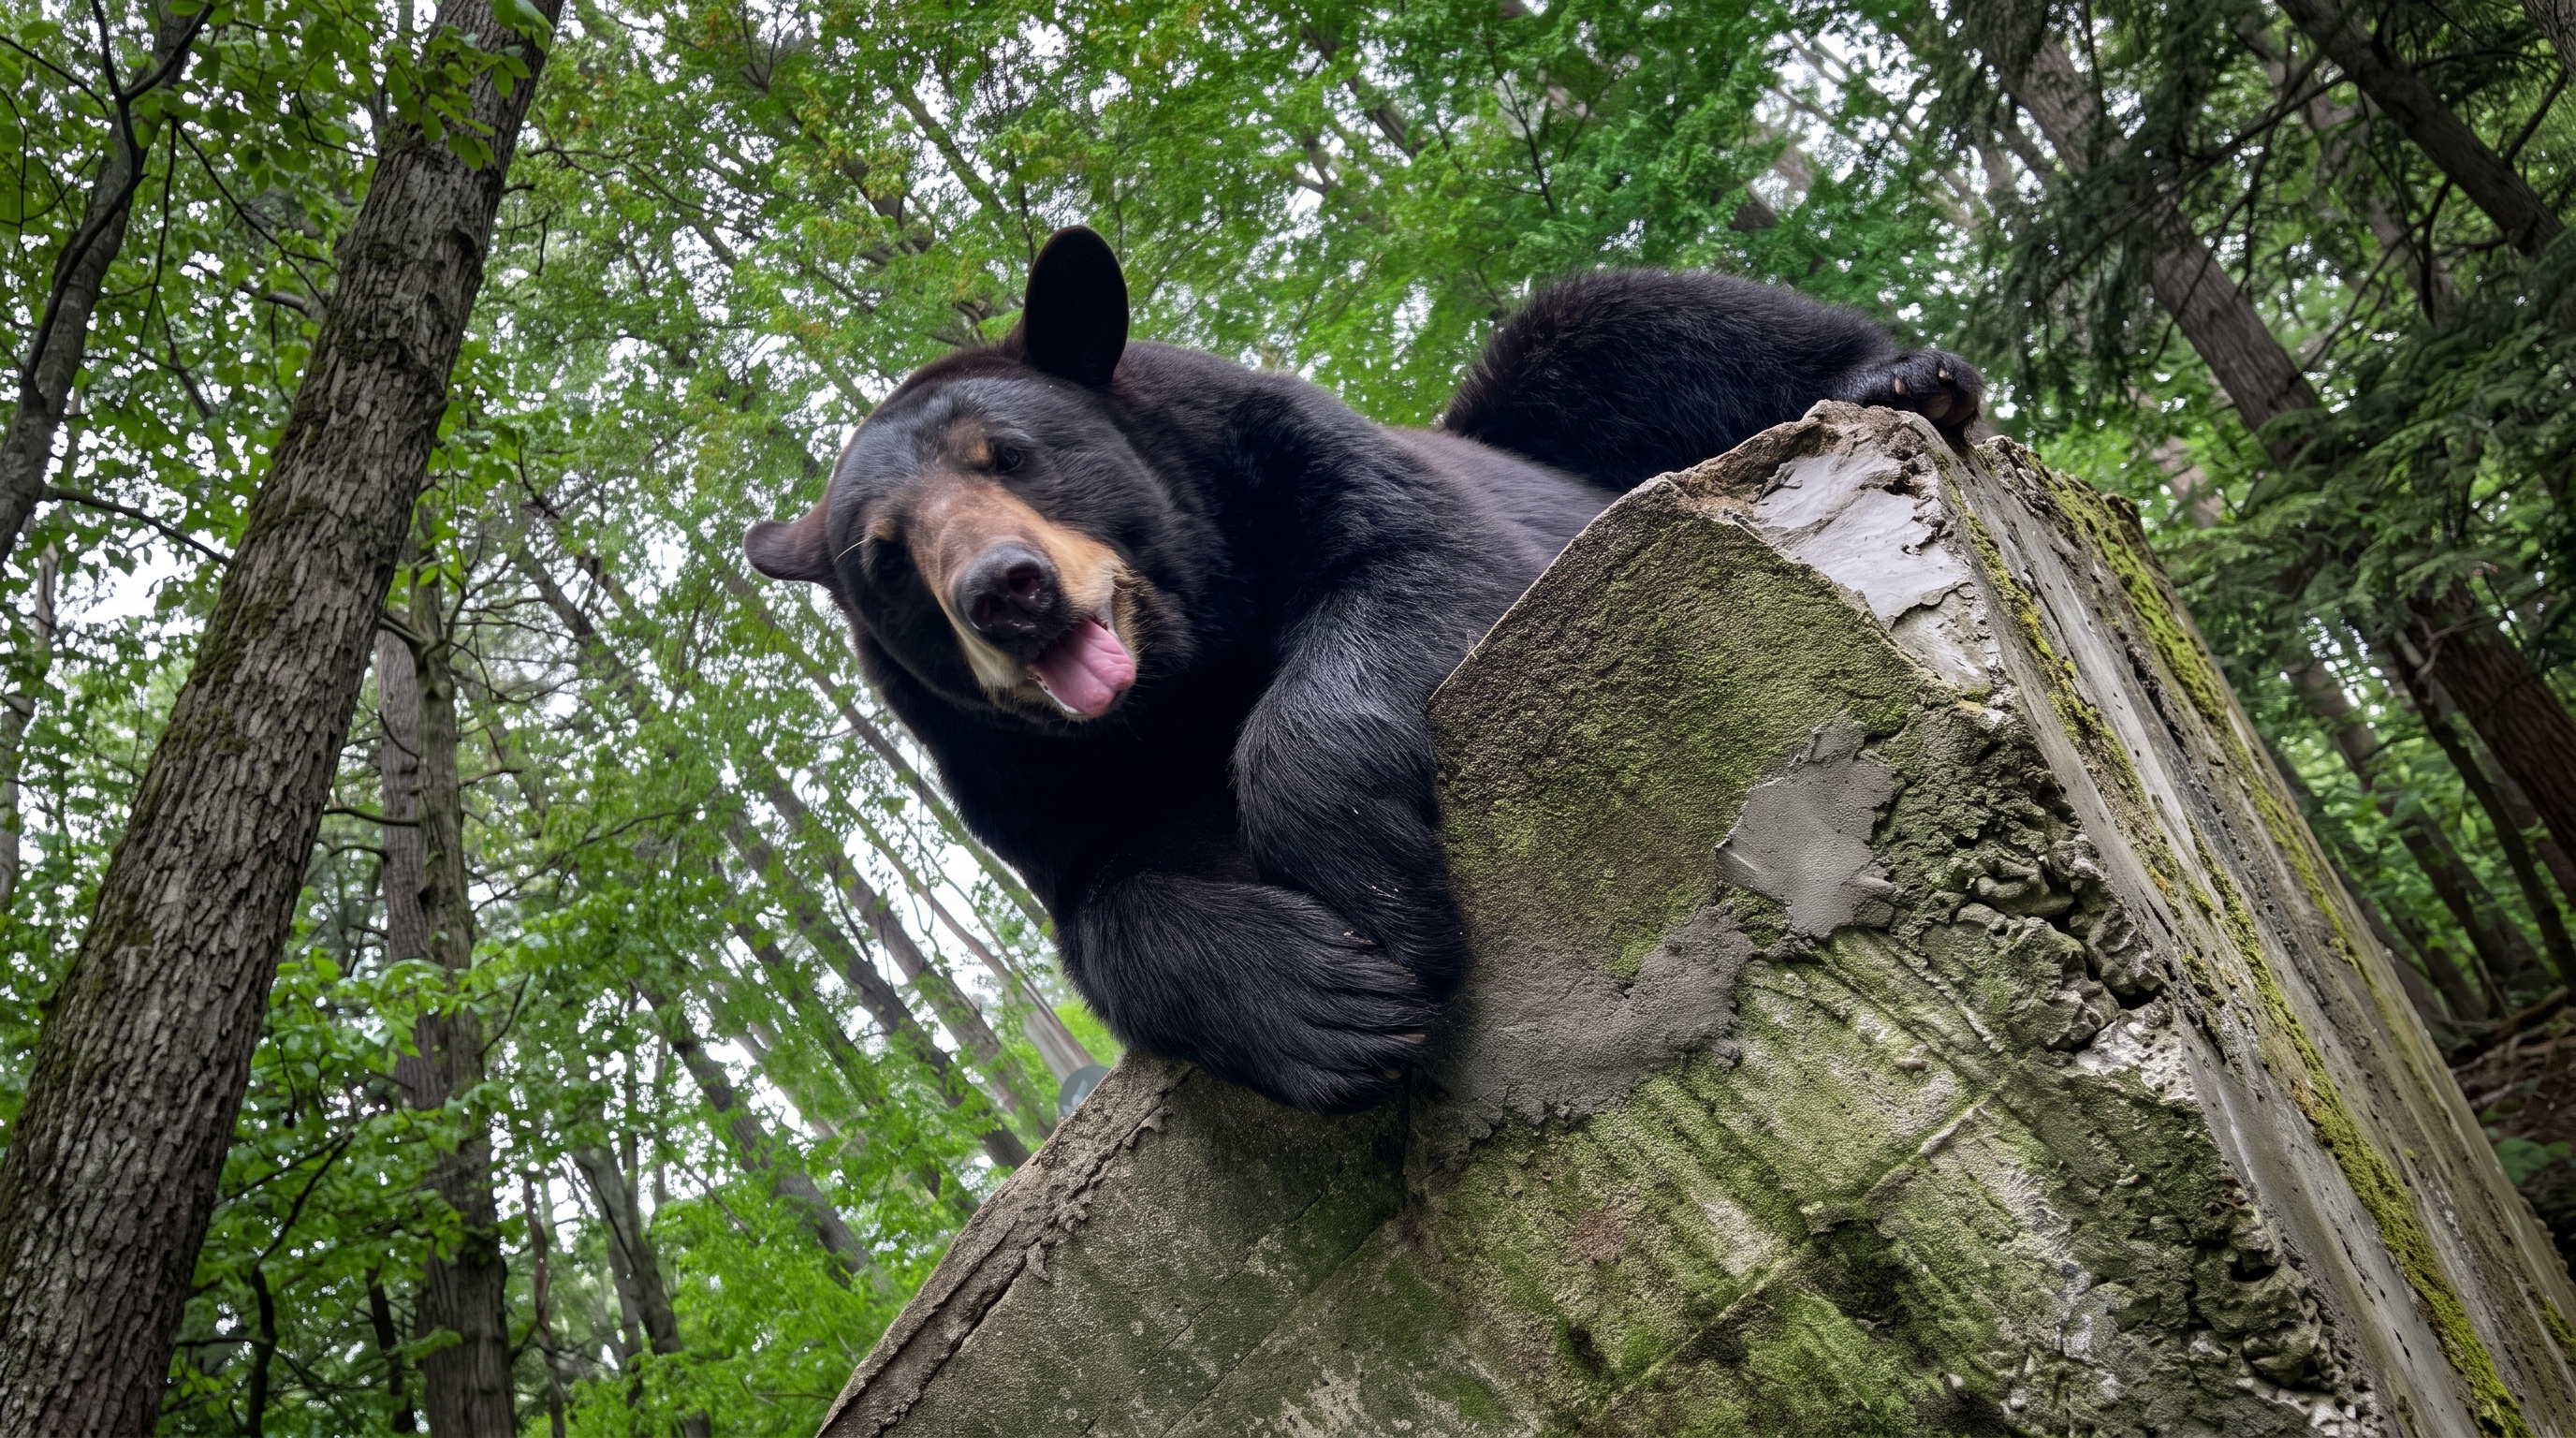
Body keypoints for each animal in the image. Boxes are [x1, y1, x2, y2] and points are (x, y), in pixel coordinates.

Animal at [744, 226, 1980, 1113]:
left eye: (1005, 455)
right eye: (885, 556)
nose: (1004, 590)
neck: (1179, 682)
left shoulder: (1284, 459)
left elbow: (1409, 565)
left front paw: (1375, 891)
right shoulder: (1029, 786)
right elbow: (1106, 906)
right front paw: (1325, 1006)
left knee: (1628, 317)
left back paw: (1898, 377)